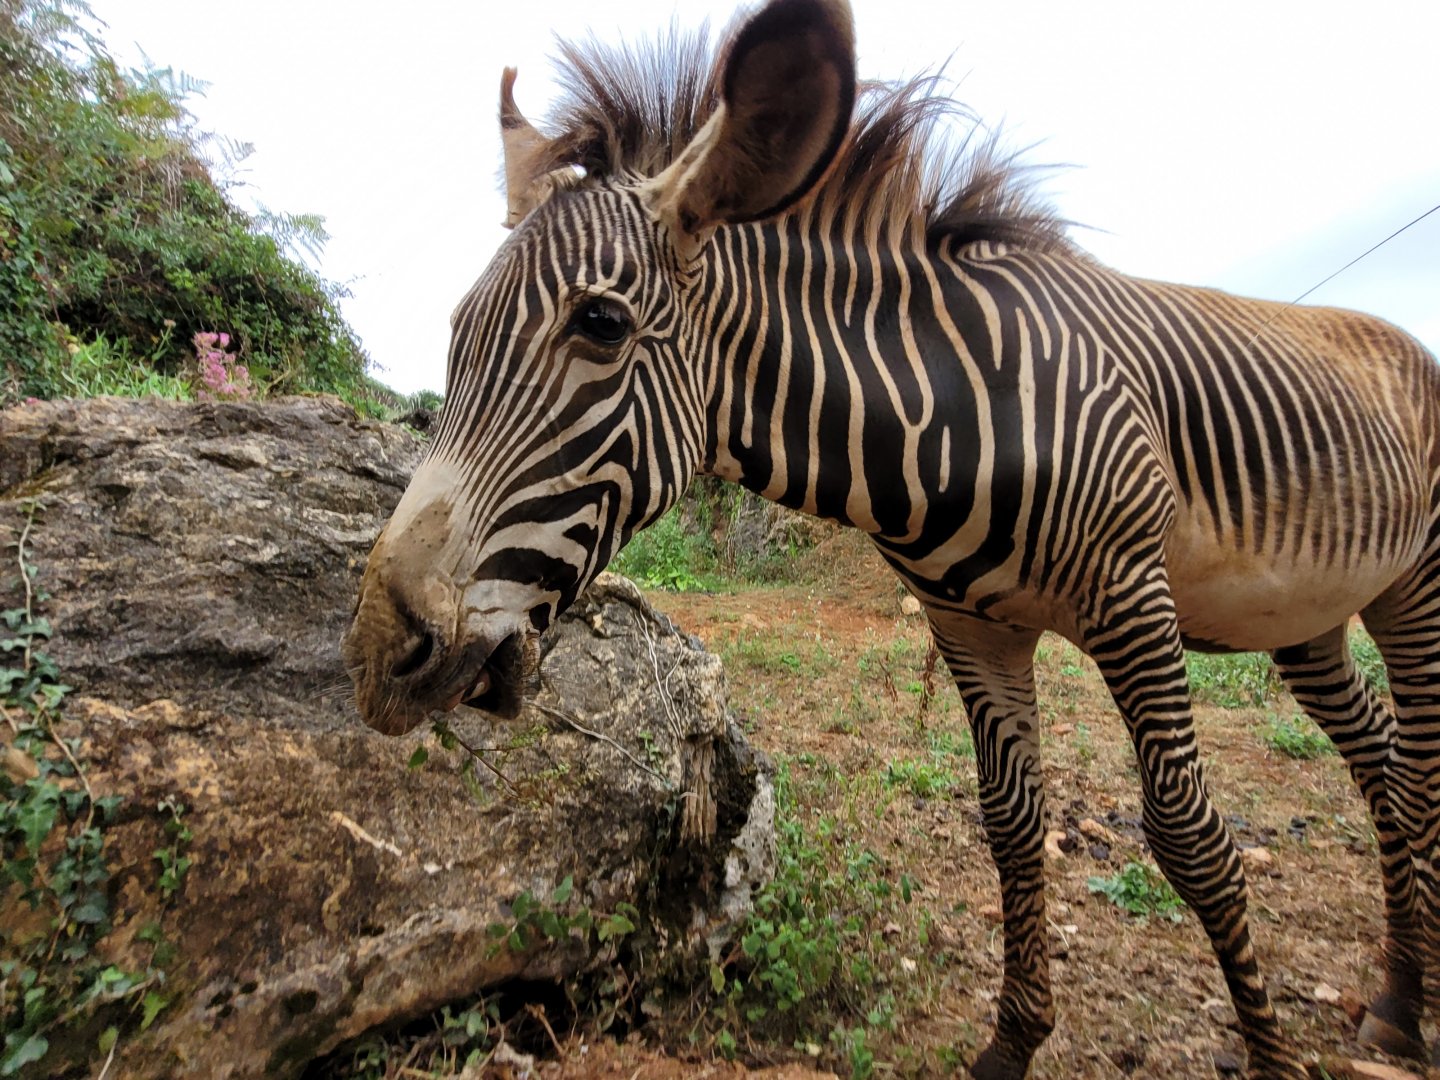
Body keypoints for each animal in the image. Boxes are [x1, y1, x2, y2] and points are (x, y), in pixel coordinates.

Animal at [341, 0, 1440, 1075]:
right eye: (457, 332)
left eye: (602, 326)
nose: (375, 659)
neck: (956, 413)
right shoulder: (970, 624)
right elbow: (1011, 825)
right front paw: (1012, 1043)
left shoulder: (1133, 597)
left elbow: (1189, 836)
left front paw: (1268, 1056)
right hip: (1306, 620)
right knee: (1384, 763)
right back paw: (1396, 1001)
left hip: (1415, 587)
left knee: (1417, 766)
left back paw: (1407, 1009)